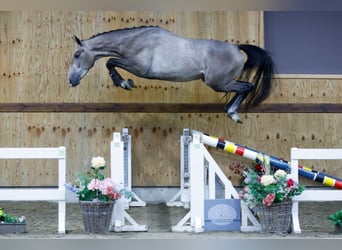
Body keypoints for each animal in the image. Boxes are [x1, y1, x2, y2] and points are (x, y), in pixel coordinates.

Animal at [67, 25, 276, 123]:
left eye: (77, 54)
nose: (71, 80)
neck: (134, 41)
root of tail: (237, 48)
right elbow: (111, 62)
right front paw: (124, 83)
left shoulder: (140, 68)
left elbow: (110, 62)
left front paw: (124, 83)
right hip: (221, 83)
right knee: (242, 88)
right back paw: (230, 111)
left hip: (218, 83)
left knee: (246, 87)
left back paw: (233, 114)